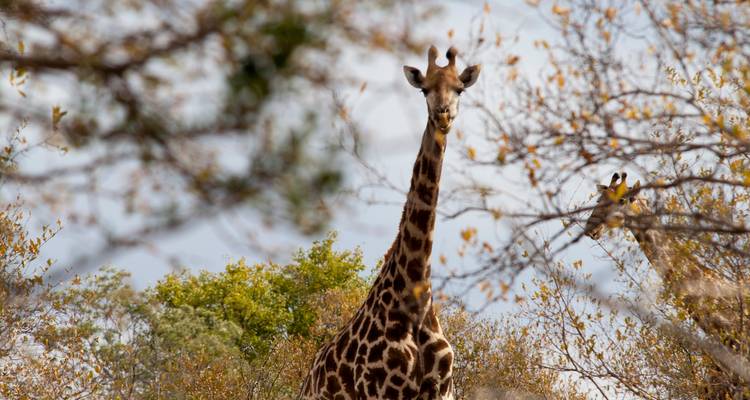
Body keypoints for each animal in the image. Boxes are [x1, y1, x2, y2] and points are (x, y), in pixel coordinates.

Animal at [298, 46, 481, 400]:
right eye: (425, 89)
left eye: (459, 89)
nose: (443, 114)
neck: (415, 294)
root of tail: (307, 379)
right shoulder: (381, 391)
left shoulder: (443, 391)